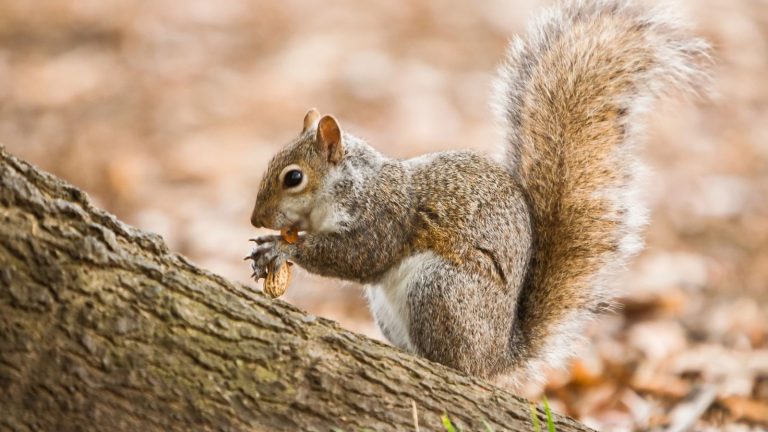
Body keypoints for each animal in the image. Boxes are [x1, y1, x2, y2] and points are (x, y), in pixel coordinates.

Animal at [246, 0, 709, 381]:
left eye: (293, 178)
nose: (255, 219)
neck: (350, 185)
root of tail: (496, 356)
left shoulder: (383, 217)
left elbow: (357, 257)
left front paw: (282, 247)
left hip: (441, 289)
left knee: (456, 364)